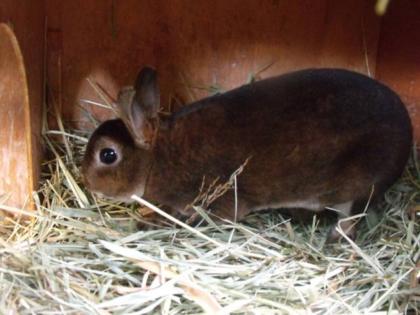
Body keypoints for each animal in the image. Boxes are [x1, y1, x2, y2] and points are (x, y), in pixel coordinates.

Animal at [82, 67, 414, 242]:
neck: (159, 157)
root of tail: (407, 132)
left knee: (352, 215)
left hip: (358, 183)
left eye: (108, 155)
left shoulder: (220, 199)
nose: (86, 182)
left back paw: (334, 236)